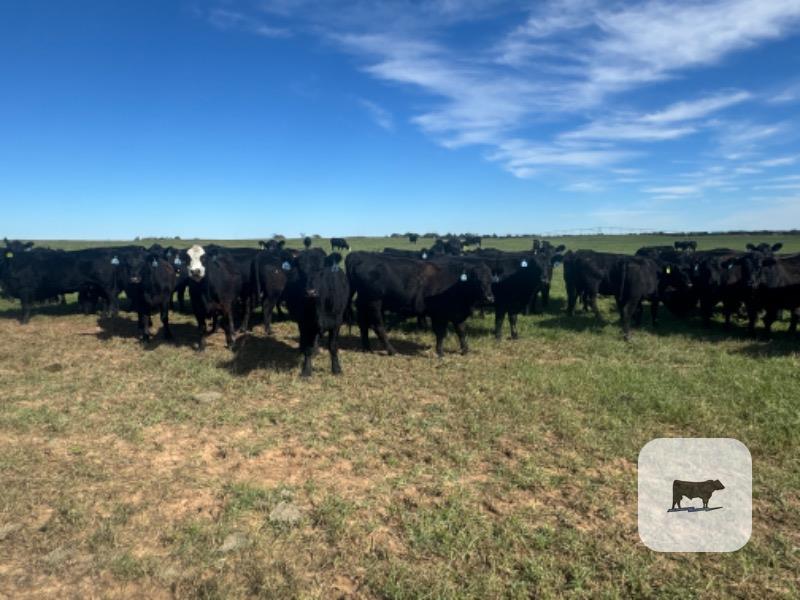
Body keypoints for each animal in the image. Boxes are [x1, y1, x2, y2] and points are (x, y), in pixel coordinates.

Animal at [346, 252, 494, 357]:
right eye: (476, 279)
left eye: (491, 279)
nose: (489, 297)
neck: (455, 283)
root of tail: (359, 255)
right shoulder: (439, 315)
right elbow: (441, 333)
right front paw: (440, 352)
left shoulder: (457, 314)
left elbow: (461, 331)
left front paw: (465, 350)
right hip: (374, 303)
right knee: (378, 327)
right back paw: (392, 351)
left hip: (363, 303)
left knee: (363, 324)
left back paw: (367, 348)